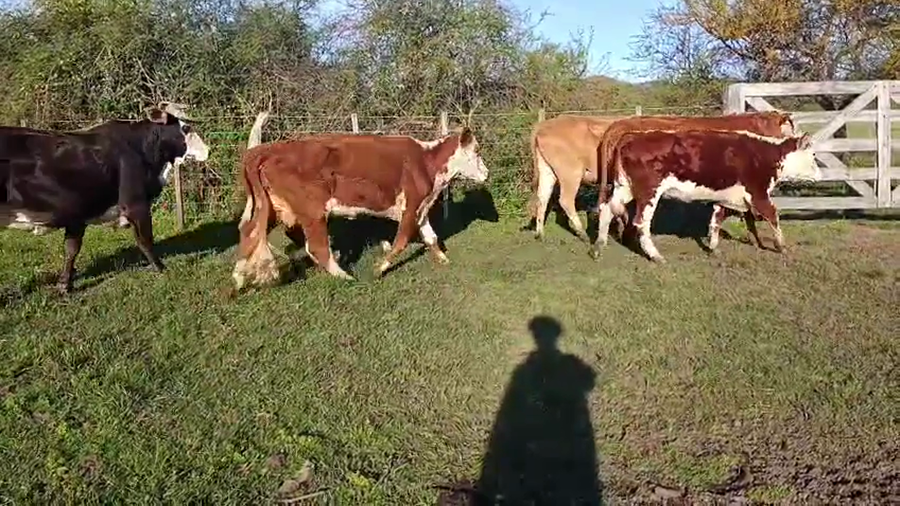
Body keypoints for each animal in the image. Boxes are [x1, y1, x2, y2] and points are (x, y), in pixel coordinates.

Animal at [1, 102, 210, 293]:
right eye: (186, 128)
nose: (207, 149)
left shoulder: (78, 213)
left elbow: (71, 249)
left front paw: (64, 285)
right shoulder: (136, 203)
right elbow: (145, 240)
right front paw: (161, 269)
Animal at [232, 126, 489, 290]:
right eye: (476, 152)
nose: (487, 173)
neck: (426, 162)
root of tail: (266, 150)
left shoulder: (422, 208)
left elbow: (432, 237)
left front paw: (443, 258)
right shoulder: (410, 206)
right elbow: (401, 241)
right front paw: (379, 268)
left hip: (272, 206)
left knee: (250, 233)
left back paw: (237, 280)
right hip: (312, 209)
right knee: (316, 247)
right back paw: (344, 276)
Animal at [589, 129, 820, 263]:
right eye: (813, 155)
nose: (820, 173)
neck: (765, 154)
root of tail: (631, 137)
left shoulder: (727, 197)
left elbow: (716, 220)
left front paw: (713, 247)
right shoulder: (759, 194)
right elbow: (773, 215)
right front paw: (782, 247)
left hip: (624, 187)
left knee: (606, 209)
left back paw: (599, 245)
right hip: (649, 192)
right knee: (641, 222)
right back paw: (655, 256)